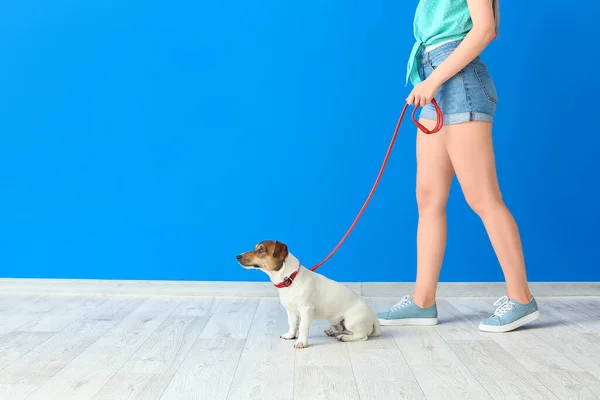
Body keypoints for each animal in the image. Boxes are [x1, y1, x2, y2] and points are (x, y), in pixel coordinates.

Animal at [236, 239, 380, 348]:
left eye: (261, 250)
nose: (237, 256)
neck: (290, 279)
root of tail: (373, 317)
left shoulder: (306, 310)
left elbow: (303, 327)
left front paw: (301, 342)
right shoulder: (291, 311)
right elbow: (292, 325)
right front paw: (290, 336)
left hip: (352, 321)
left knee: (362, 336)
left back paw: (344, 338)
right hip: (335, 321)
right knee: (344, 330)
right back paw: (334, 333)